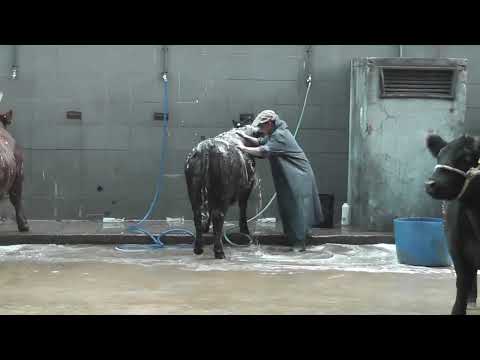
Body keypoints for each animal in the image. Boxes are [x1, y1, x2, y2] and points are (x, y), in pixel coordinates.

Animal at [185, 125, 258, 258]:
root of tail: (207, 146)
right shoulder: (248, 186)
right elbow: (243, 206)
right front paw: (244, 229)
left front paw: (206, 227)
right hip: (224, 192)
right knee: (218, 215)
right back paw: (219, 251)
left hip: (194, 188)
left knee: (198, 214)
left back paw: (198, 248)